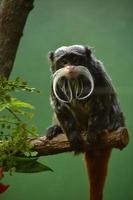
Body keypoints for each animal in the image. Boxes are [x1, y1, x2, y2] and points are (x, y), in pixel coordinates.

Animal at [46, 45, 125, 200]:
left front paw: (93, 133)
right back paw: (56, 129)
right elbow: (60, 109)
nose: (70, 67)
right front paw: (73, 136)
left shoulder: (99, 75)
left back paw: (110, 127)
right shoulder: (54, 83)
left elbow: (102, 105)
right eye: (64, 61)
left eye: (75, 59)